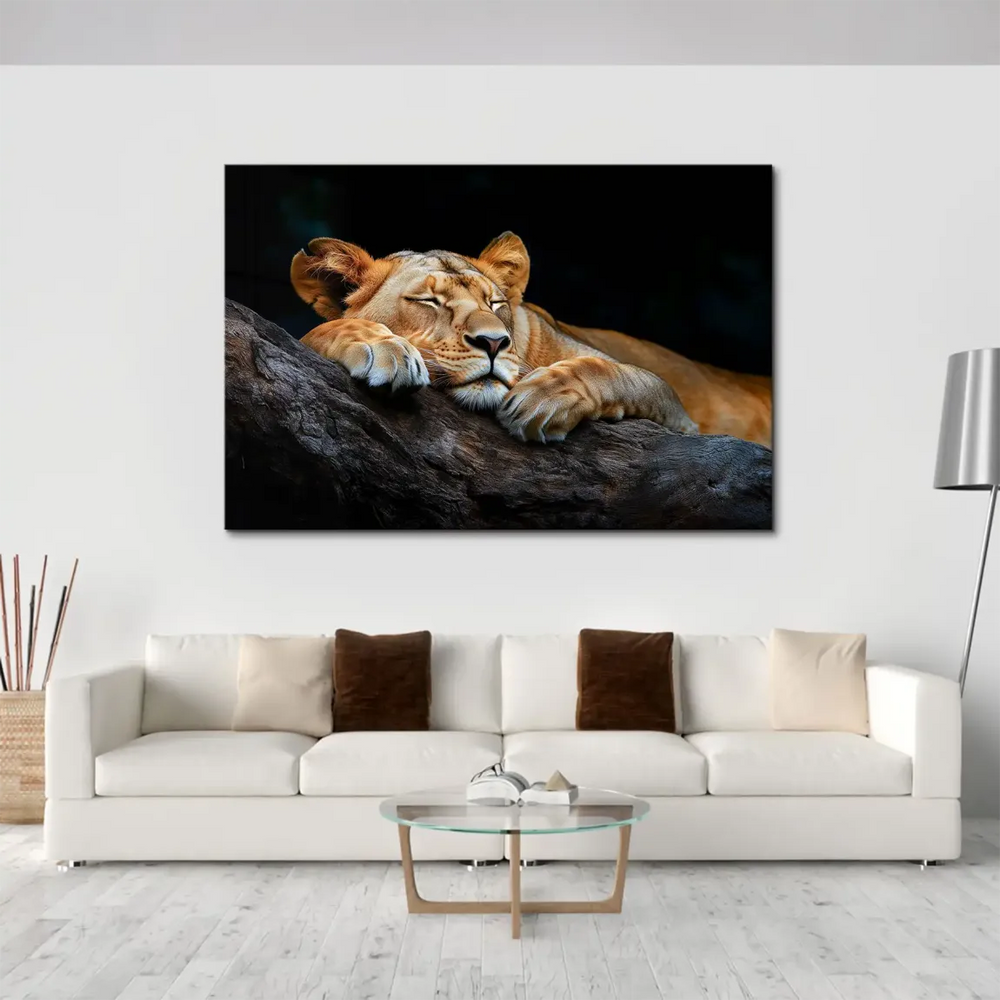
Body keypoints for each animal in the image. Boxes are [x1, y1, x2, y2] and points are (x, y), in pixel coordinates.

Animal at [291, 232, 772, 446]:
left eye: (495, 302)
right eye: (429, 300)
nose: (493, 342)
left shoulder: (680, 416)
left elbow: (610, 370)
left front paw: (543, 398)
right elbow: (317, 330)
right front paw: (384, 347)